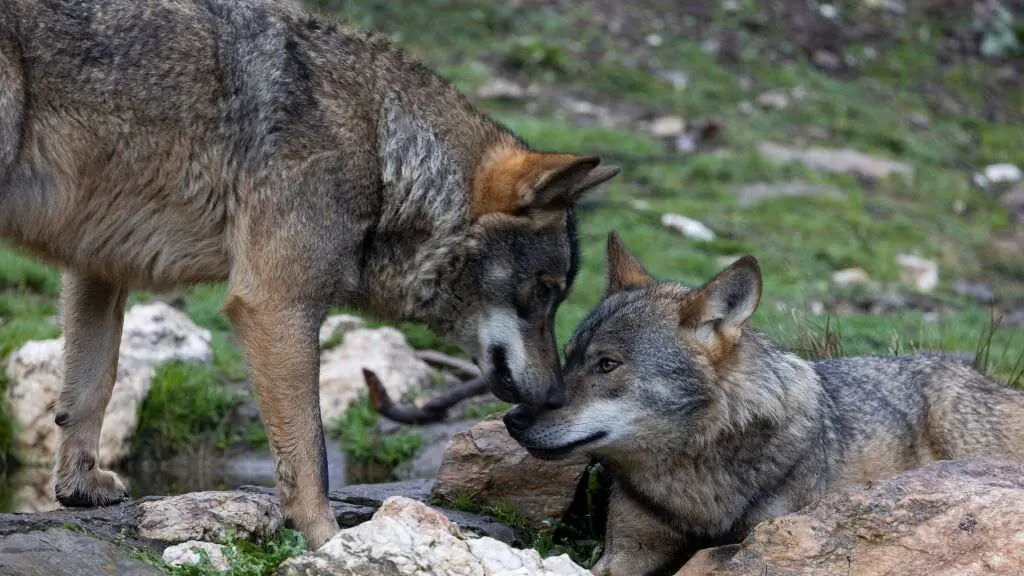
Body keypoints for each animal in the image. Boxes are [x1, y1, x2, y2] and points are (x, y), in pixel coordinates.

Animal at [0, 0, 619, 548]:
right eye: (543, 294)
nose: (555, 395)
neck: (383, 150)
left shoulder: (97, 268)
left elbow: (90, 390)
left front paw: (77, 488)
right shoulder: (275, 304)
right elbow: (310, 449)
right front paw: (327, 538)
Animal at [504, 232, 1024, 576]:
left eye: (607, 364)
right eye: (570, 356)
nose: (513, 419)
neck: (694, 483)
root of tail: (976, 370)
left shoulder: (766, 536)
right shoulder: (626, 552)